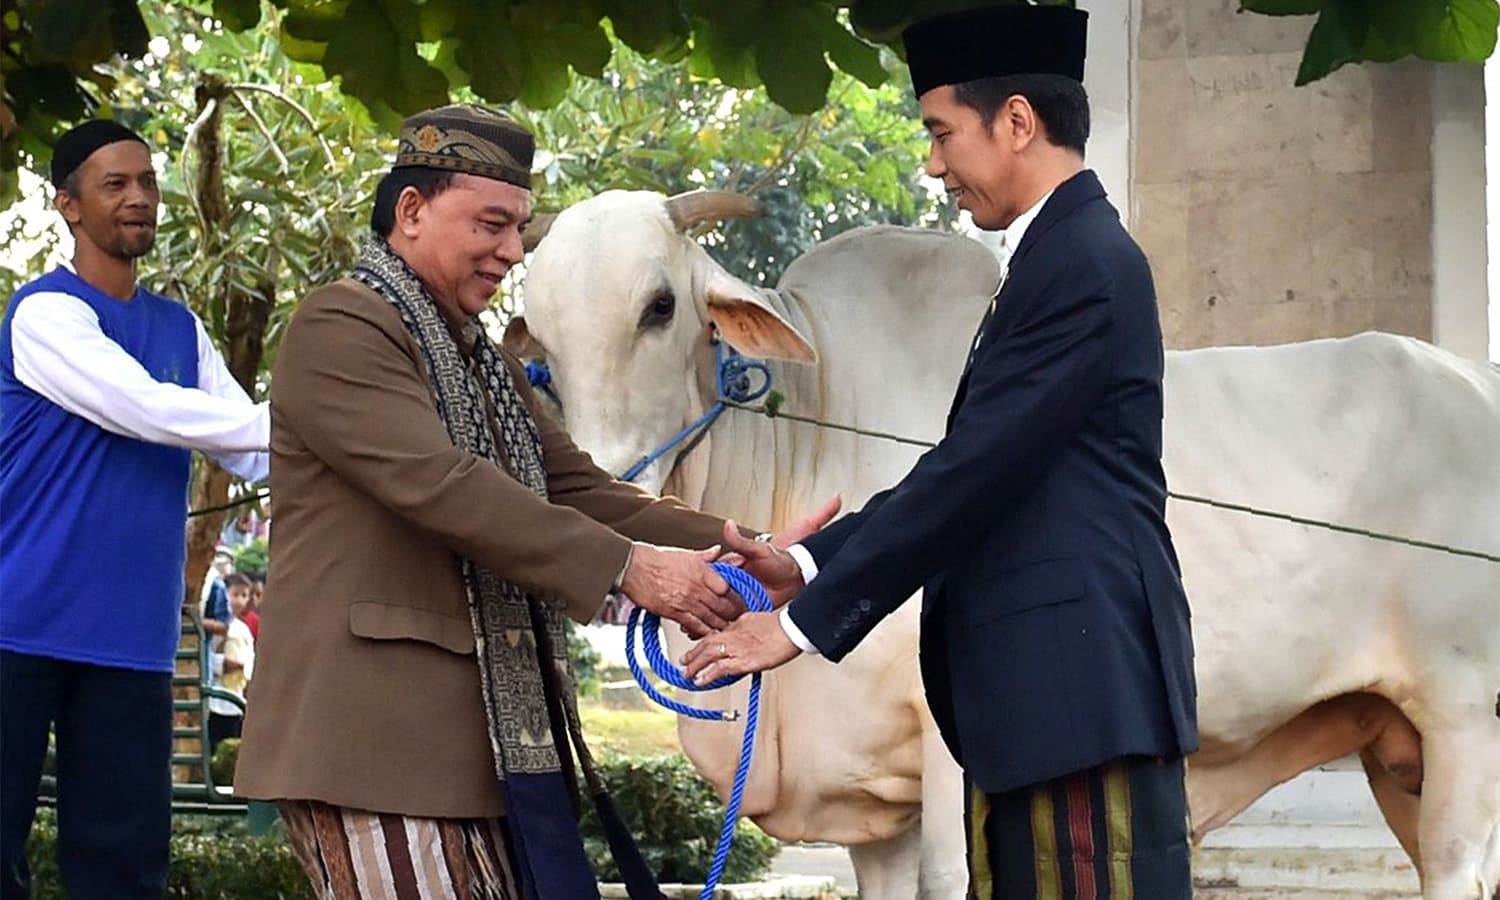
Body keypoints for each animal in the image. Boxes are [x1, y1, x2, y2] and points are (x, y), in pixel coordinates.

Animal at [516, 191, 1500, 900]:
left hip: (1462, 715)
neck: (815, 427)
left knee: (1454, 866)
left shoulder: (950, 758)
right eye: (542, 345)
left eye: (659, 306)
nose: (609, 496)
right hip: (1395, 744)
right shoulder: (876, 809)